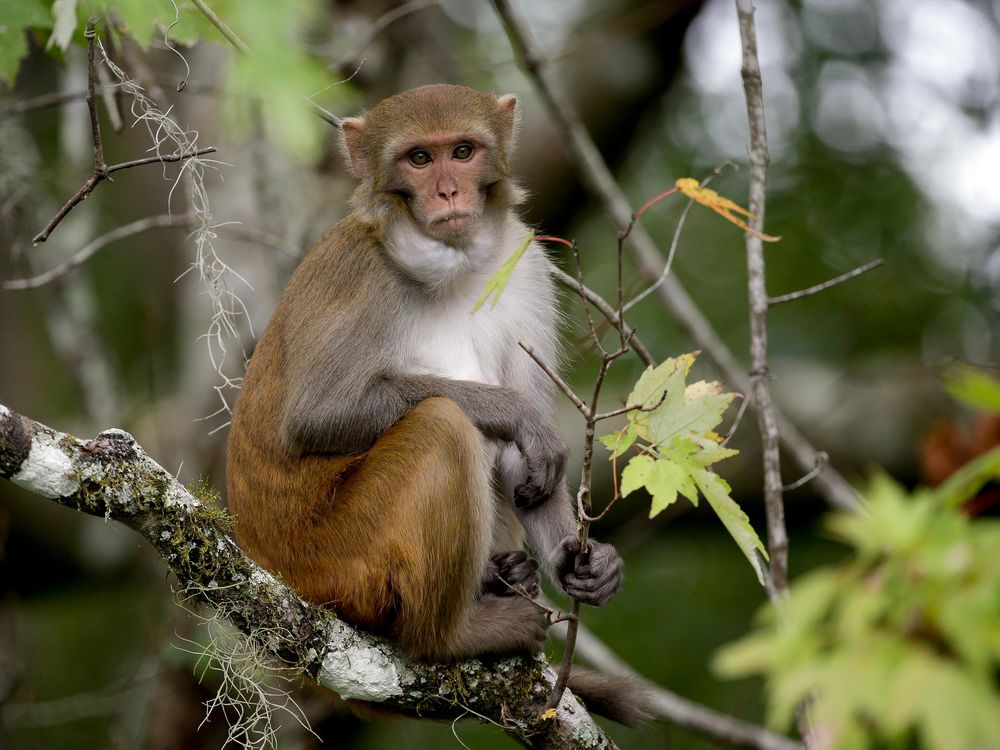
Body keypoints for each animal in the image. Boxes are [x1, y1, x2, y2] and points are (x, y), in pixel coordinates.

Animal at [230, 82, 628, 680]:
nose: (447, 192)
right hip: (339, 558)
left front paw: (585, 562)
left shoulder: (527, 267)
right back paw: (453, 636)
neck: (455, 265)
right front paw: (516, 413)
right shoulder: (361, 273)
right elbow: (317, 417)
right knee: (442, 425)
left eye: (462, 152)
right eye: (418, 159)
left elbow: (527, 469)